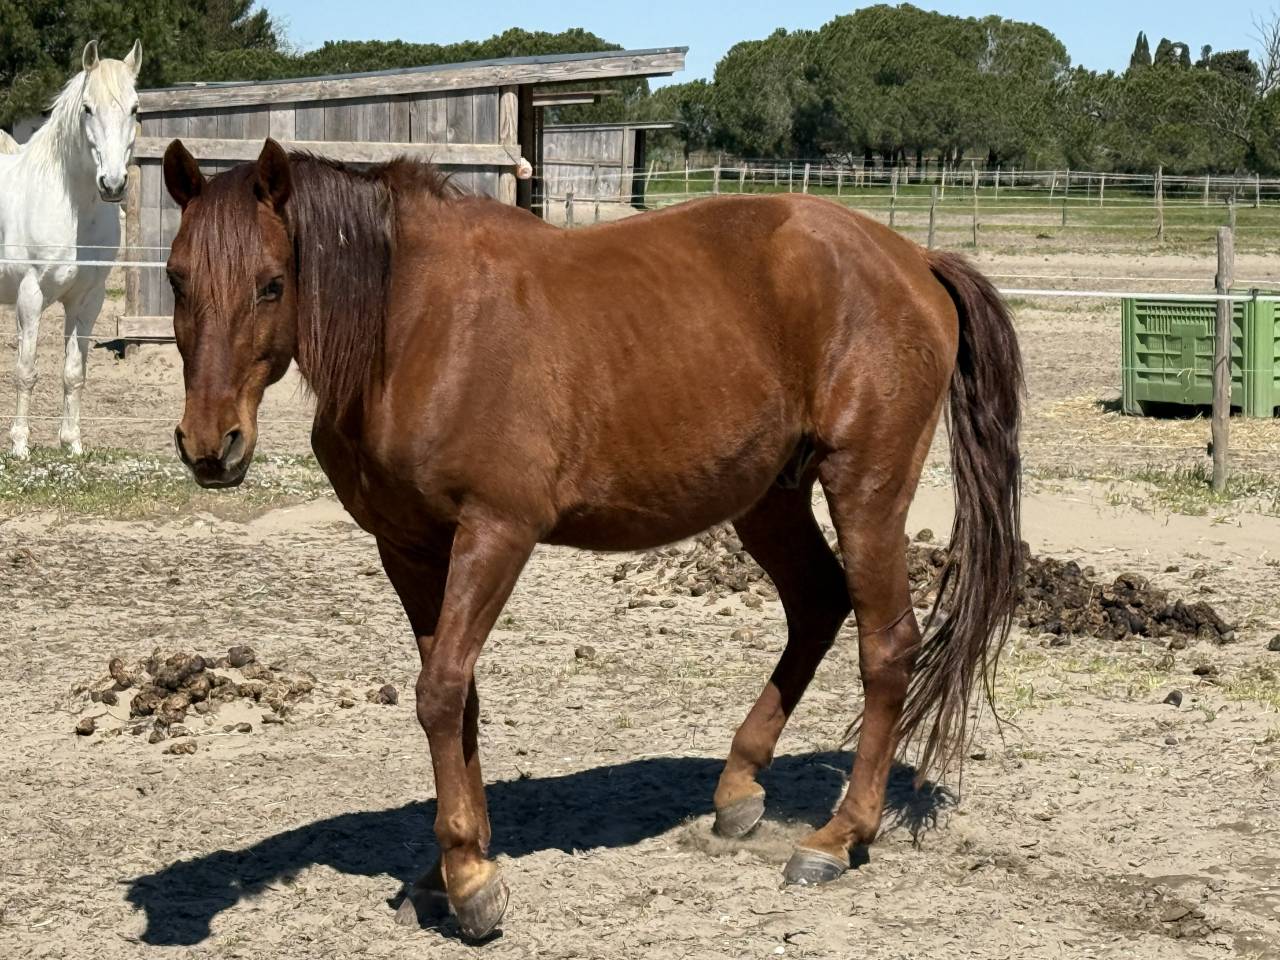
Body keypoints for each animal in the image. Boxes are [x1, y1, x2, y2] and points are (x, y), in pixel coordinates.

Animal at [0, 40, 142, 458]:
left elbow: (74, 373)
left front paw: (72, 442)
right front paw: (19, 445)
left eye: (135, 108)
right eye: (87, 108)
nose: (112, 184)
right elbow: (26, 371)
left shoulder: (87, 300)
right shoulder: (30, 295)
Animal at [161, 137, 1023, 941]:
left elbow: (440, 692)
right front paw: (453, 866)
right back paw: (738, 789)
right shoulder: (408, 548)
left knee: (888, 646)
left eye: (272, 283)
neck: (415, 328)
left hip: (864, 490)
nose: (209, 446)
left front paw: (467, 879)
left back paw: (838, 836)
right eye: (176, 279)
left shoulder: (496, 532)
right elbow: (458, 696)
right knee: (817, 605)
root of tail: (913, 259)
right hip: (767, 498)